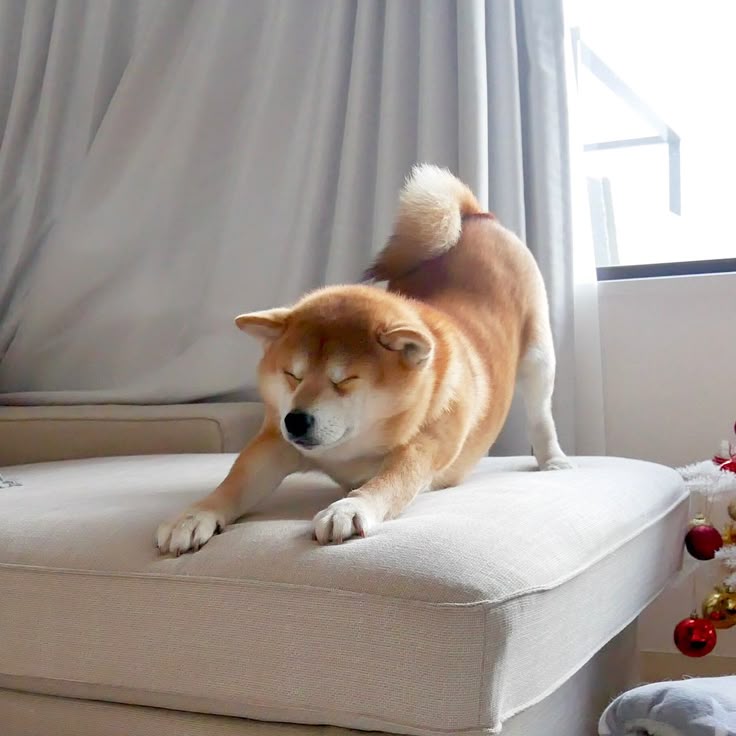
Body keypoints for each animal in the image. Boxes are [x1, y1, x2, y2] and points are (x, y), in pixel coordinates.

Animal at [156, 164, 571, 554]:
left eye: (344, 379)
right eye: (293, 375)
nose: (296, 419)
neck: (350, 454)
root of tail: (474, 216)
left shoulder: (423, 446)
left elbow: (390, 482)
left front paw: (350, 508)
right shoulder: (274, 443)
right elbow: (234, 482)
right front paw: (193, 516)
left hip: (539, 357)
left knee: (541, 415)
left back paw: (553, 460)